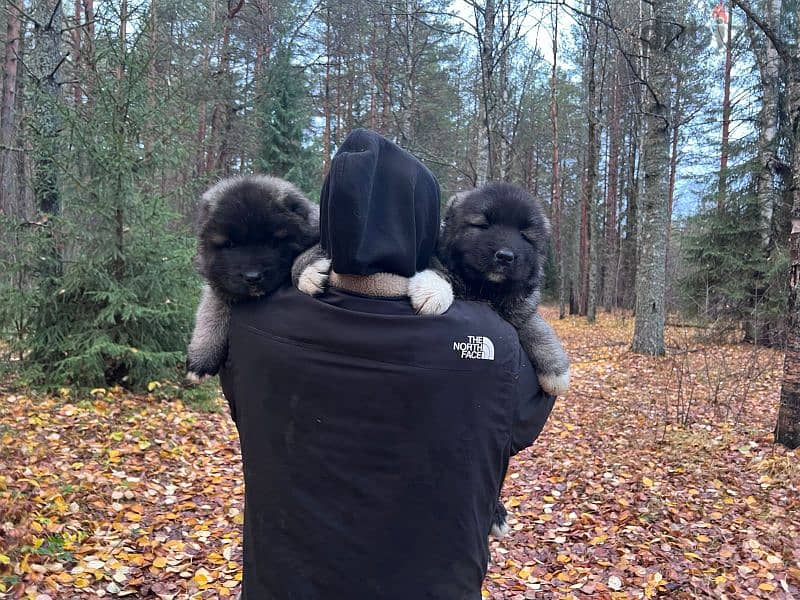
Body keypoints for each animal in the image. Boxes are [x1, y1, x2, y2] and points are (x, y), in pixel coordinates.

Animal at [186, 175, 320, 380]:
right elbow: (212, 307)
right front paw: (202, 356)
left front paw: (308, 270)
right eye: (230, 244)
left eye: (274, 241)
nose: (253, 277)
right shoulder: (220, 282)